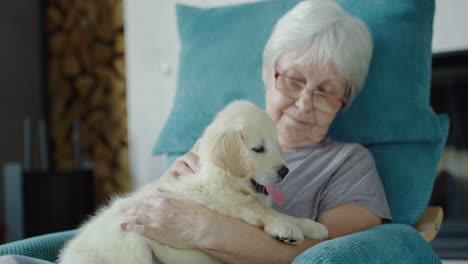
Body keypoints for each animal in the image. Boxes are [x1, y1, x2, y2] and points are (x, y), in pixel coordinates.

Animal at [58, 100, 328, 262]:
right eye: (258, 149)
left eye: (276, 145)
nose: (285, 171)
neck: (220, 180)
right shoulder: (229, 204)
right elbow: (263, 210)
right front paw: (285, 227)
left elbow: (281, 211)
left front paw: (311, 226)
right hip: (130, 241)